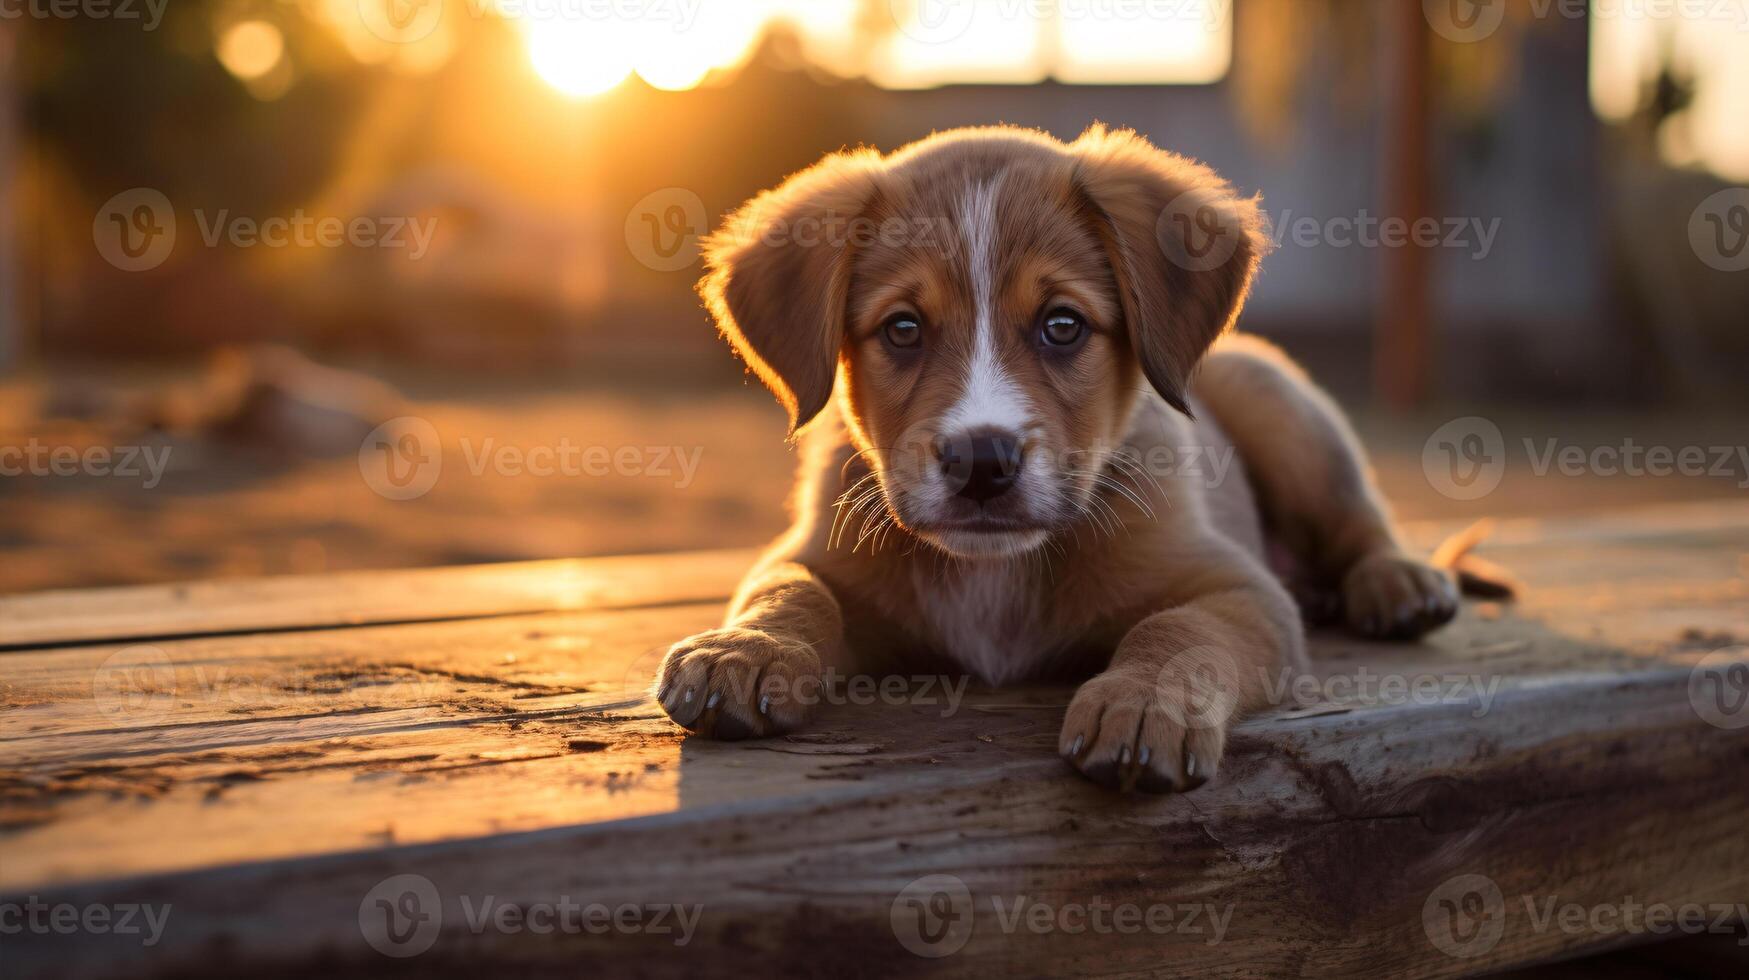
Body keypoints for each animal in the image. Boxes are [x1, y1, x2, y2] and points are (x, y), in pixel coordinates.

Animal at [661, 124, 1469, 798]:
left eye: (1062, 325)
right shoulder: (812, 556)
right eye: (902, 329)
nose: (981, 460)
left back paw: (1397, 582)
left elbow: (1179, 634)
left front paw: (1143, 702)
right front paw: (746, 648)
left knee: (1357, 517)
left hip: (1278, 406)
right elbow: (791, 592)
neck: (995, 574)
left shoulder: (1237, 588)